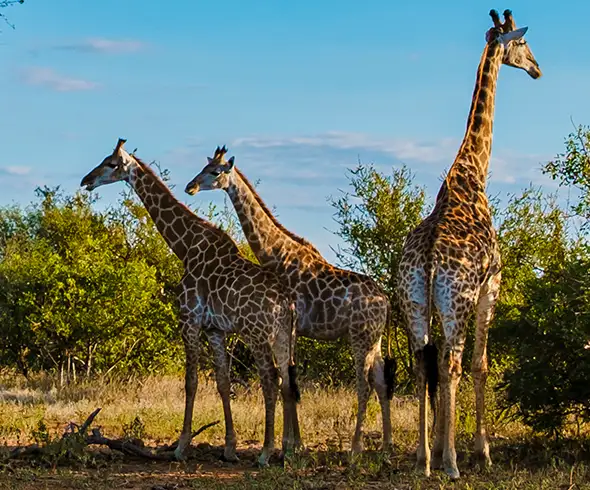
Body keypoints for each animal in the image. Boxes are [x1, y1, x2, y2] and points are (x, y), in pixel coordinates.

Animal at [79, 138, 302, 468]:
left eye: (111, 163)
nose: (86, 180)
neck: (184, 246)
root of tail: (286, 302)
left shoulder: (189, 319)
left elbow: (191, 381)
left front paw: (181, 447)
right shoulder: (215, 329)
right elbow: (222, 382)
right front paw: (229, 448)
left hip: (257, 333)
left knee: (270, 379)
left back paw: (265, 452)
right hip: (284, 336)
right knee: (287, 380)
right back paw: (287, 450)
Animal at [185, 146, 398, 456]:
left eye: (215, 171)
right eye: (204, 167)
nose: (190, 187)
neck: (276, 254)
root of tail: (386, 301)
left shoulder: (291, 326)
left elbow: (288, 379)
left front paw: (290, 445)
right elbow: (290, 379)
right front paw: (295, 444)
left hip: (360, 337)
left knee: (364, 384)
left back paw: (355, 449)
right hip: (375, 339)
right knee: (381, 383)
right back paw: (386, 446)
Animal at [398, 9, 540, 480]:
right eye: (523, 44)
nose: (537, 69)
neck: (472, 172)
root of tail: (426, 261)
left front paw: (440, 447)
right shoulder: (490, 287)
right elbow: (481, 365)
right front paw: (481, 451)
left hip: (415, 302)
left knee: (424, 363)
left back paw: (424, 459)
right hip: (457, 301)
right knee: (453, 364)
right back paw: (453, 463)